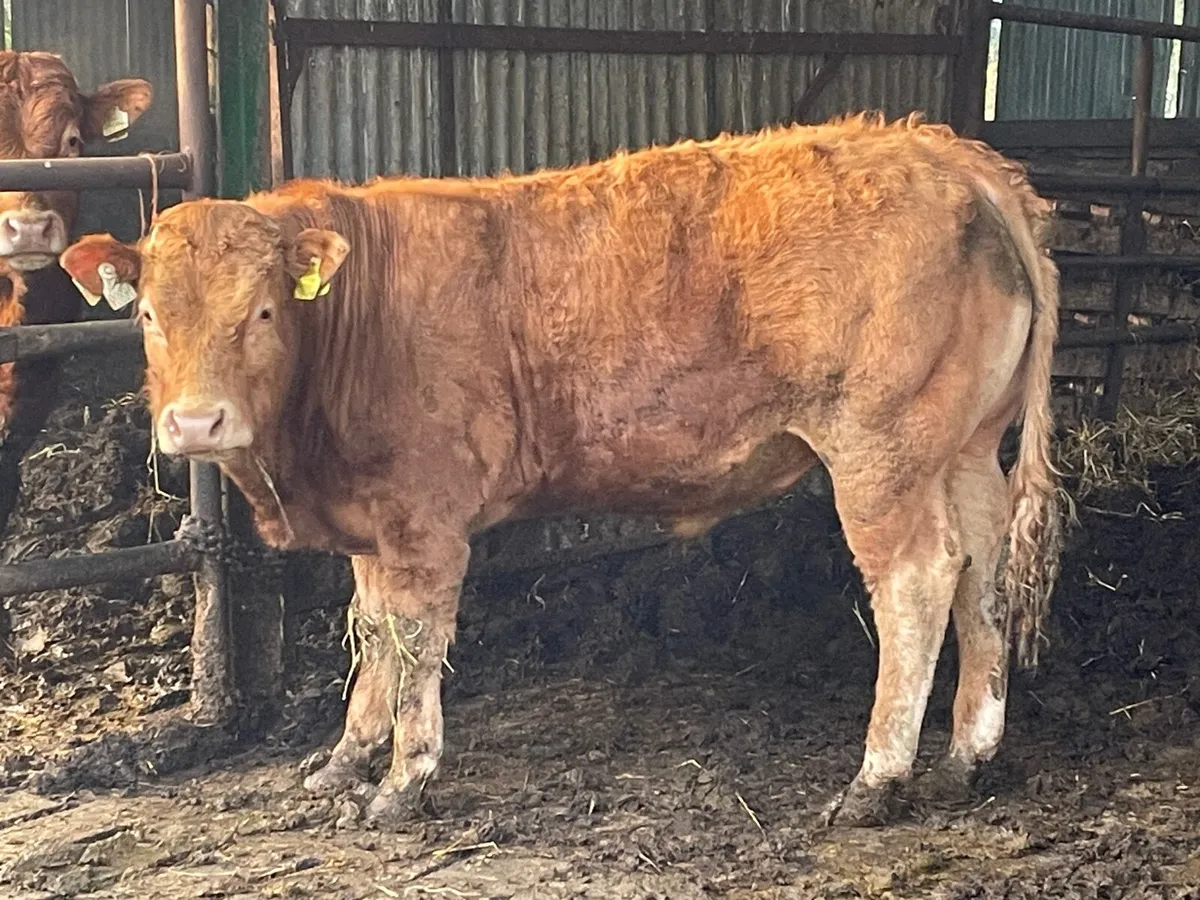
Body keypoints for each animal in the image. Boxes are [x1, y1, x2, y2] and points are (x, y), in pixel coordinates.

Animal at [61, 112, 1063, 829]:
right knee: (982, 572)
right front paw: (342, 762)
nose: (196, 422)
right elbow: (374, 635)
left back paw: (876, 779)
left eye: (264, 311)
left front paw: (402, 783)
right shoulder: (374, 526)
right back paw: (966, 758)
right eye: (147, 314)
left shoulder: (424, 519)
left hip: (881, 451)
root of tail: (945, 150)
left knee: (918, 582)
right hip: (967, 447)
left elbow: (416, 640)